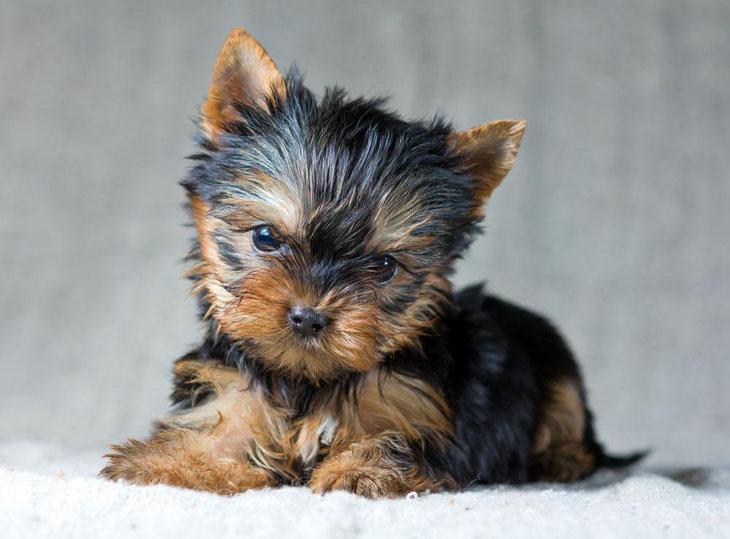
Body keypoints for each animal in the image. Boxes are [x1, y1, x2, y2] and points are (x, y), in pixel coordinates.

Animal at [101, 27, 636, 496]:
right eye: (266, 237)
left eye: (383, 267)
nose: (308, 316)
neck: (307, 380)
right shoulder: (232, 391)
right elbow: (219, 434)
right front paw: (166, 463)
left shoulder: (420, 413)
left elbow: (391, 439)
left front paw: (361, 471)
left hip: (559, 376)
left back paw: (560, 459)